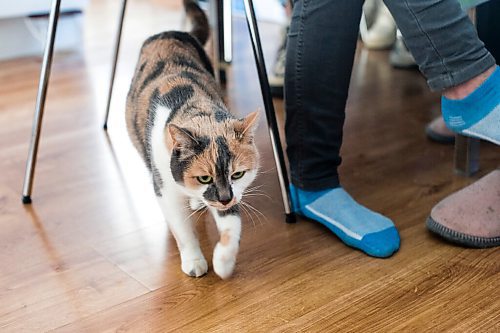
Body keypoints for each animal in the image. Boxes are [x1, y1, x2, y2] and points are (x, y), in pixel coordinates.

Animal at [125, 0, 260, 278]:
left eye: (238, 174)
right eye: (204, 177)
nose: (224, 198)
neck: (196, 108)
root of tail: (171, 32)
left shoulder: (232, 193)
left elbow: (231, 226)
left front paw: (224, 262)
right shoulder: (166, 189)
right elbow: (183, 230)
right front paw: (194, 261)